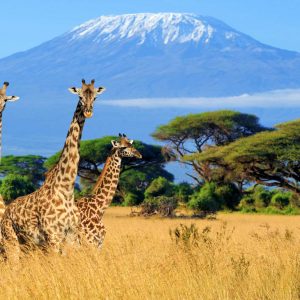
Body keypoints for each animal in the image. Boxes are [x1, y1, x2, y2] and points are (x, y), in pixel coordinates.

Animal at [0, 79, 105, 260]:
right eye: (80, 96)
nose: (88, 112)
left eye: (95, 97)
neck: (66, 189)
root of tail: (7, 211)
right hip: (11, 241)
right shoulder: (52, 237)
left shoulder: (71, 236)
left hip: (27, 245)